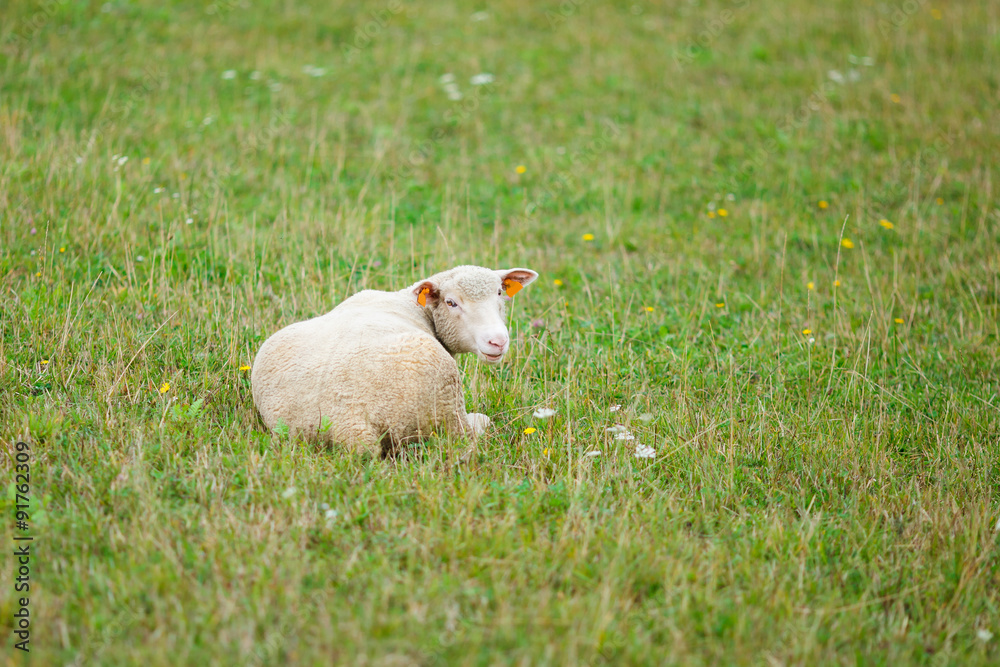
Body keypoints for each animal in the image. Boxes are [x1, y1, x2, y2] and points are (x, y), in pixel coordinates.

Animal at [251, 265, 538, 456]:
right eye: (451, 302)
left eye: (500, 293)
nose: (497, 341)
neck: (413, 304)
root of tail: (349, 424)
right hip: (444, 406)